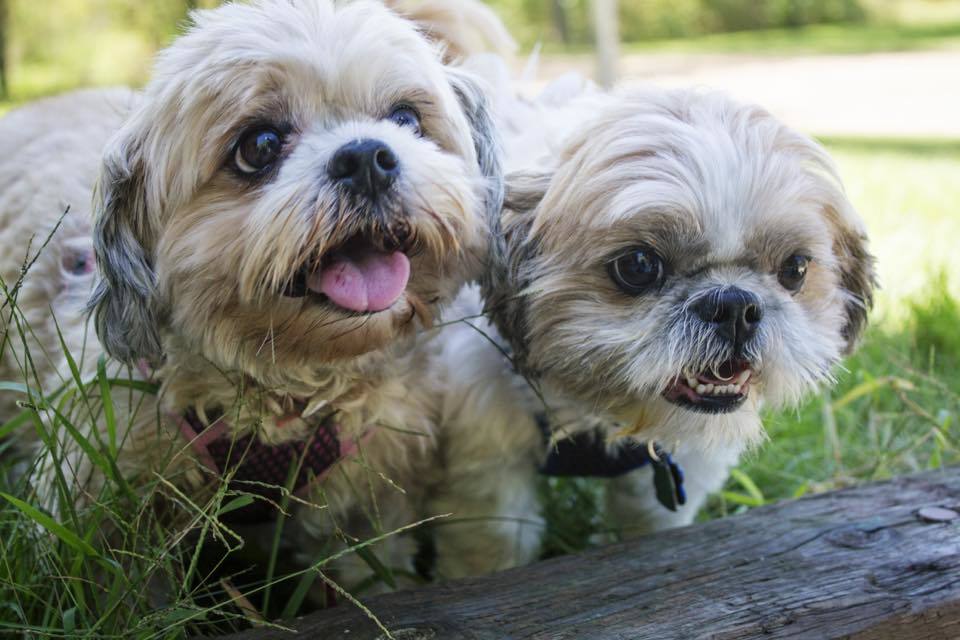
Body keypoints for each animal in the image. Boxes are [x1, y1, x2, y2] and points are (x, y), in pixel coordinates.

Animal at [424, 81, 872, 580]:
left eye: (795, 269)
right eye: (638, 265)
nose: (735, 305)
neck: (594, 411)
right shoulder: (489, 456)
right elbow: (495, 540)